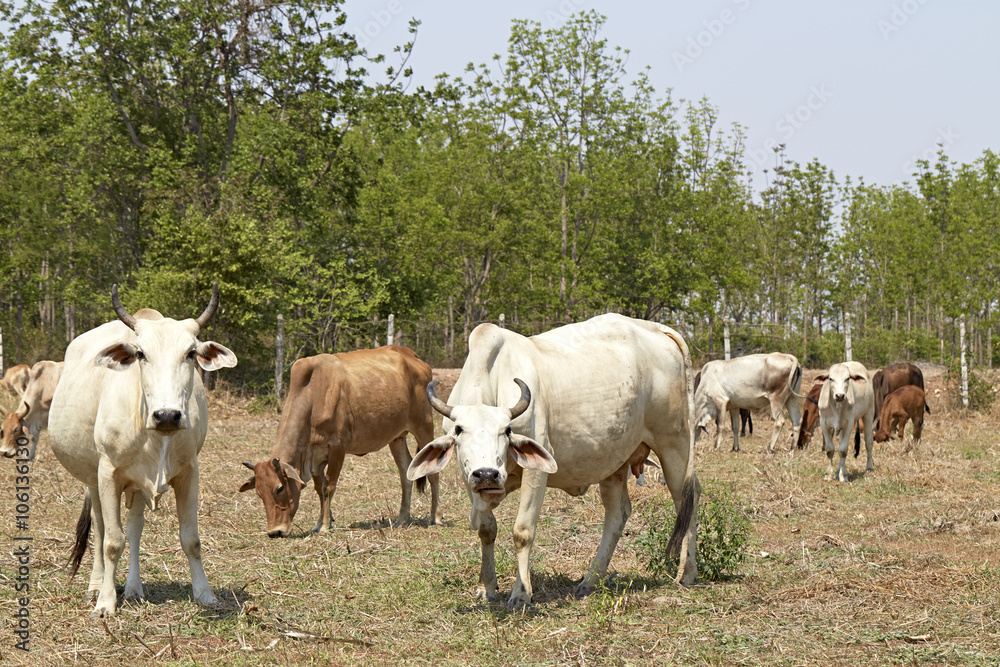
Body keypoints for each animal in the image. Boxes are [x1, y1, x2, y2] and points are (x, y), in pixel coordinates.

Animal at [50, 284, 238, 620]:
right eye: (141, 354)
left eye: (191, 353)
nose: (167, 415)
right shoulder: (108, 473)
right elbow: (112, 542)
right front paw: (105, 602)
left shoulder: (190, 472)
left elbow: (191, 539)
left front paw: (205, 594)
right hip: (92, 478)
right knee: (100, 527)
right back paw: (96, 586)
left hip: (137, 485)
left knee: (135, 527)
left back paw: (134, 588)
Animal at [240, 344, 440, 536]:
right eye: (259, 493)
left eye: (280, 488)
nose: (275, 532)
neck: (313, 396)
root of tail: (413, 357)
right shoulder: (315, 457)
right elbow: (320, 489)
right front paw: (321, 522)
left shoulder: (337, 448)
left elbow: (329, 487)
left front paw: (324, 525)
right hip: (397, 437)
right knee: (405, 471)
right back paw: (402, 518)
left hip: (424, 426)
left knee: (433, 472)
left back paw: (436, 517)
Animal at [402, 314, 700, 612]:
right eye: (459, 430)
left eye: (507, 431)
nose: (487, 474)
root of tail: (657, 328)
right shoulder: (468, 479)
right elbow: (487, 529)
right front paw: (486, 588)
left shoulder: (535, 473)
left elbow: (523, 531)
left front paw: (521, 594)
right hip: (615, 461)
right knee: (618, 514)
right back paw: (590, 581)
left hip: (675, 444)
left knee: (687, 498)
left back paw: (687, 574)